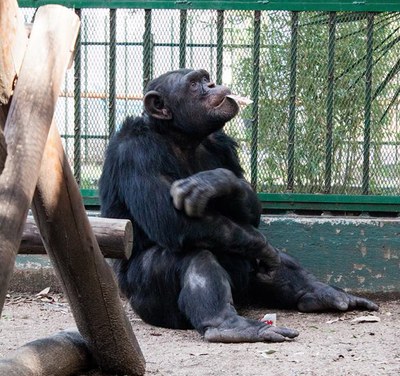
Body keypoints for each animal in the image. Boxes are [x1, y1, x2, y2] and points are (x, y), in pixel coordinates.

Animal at [100, 68, 378, 344]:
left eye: (204, 78)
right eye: (194, 85)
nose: (212, 84)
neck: (178, 137)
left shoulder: (223, 144)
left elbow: (249, 213)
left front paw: (216, 182)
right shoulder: (135, 152)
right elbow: (170, 220)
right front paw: (263, 247)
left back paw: (322, 293)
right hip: (149, 303)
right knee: (193, 255)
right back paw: (229, 325)